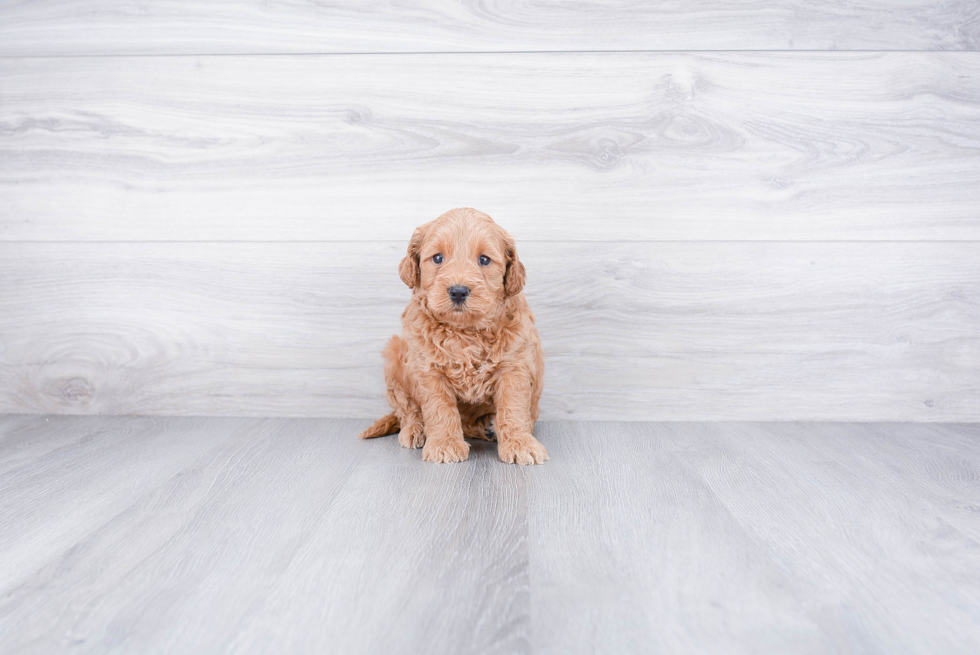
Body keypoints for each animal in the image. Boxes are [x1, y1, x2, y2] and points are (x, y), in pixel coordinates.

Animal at [356, 208, 548, 464]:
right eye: (438, 258)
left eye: (484, 260)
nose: (458, 291)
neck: (465, 331)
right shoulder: (429, 369)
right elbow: (439, 408)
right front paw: (445, 444)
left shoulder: (514, 365)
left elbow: (513, 406)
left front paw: (520, 443)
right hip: (394, 356)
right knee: (407, 409)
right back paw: (415, 430)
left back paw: (488, 426)